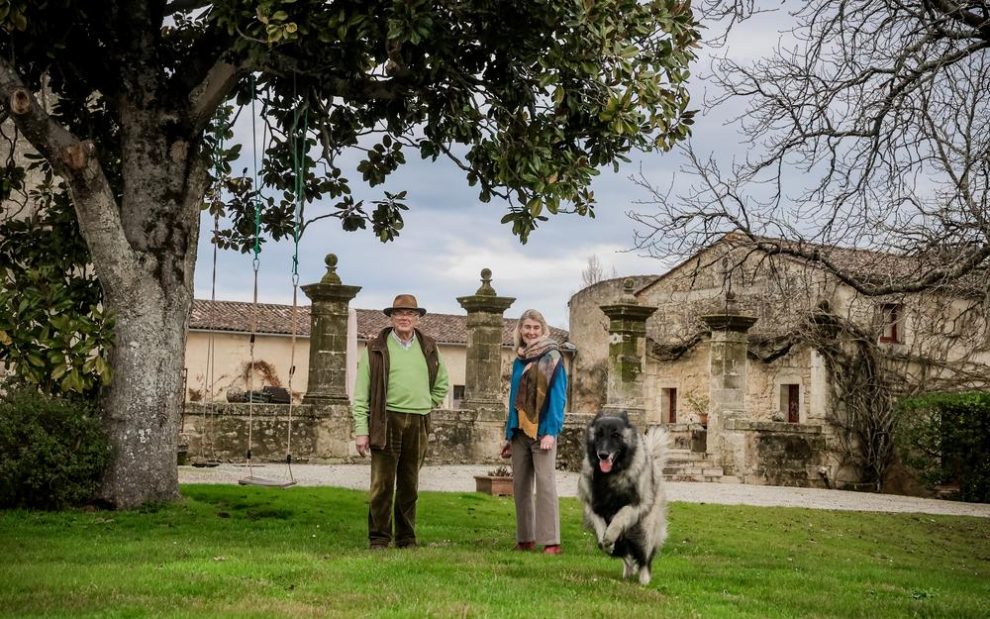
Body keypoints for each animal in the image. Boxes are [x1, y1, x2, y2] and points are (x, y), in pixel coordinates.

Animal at [577, 411, 668, 585]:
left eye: (616, 435)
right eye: (599, 435)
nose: (603, 455)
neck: (611, 475)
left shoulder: (638, 504)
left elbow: (621, 514)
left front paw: (610, 533)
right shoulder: (592, 505)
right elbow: (599, 522)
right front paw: (605, 538)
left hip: (644, 531)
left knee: (644, 559)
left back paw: (644, 579)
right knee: (627, 555)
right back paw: (627, 571)